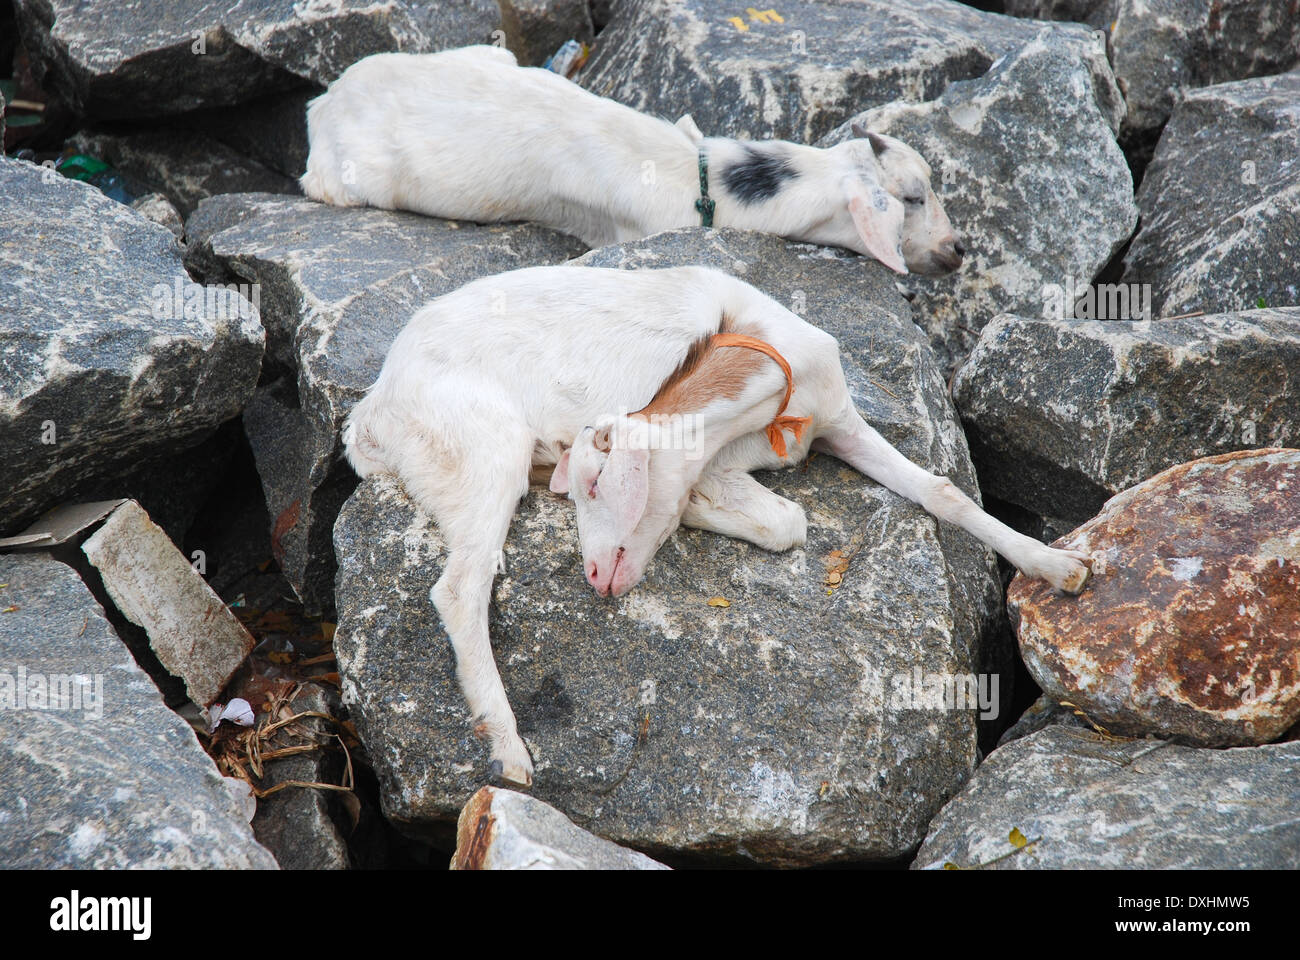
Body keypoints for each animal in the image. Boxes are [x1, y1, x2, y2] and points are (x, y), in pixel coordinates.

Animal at [342, 265, 1091, 787]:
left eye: (595, 484)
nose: (594, 573)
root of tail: (372, 413)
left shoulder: (832, 421)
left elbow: (935, 494)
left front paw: (1059, 567)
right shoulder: (722, 452)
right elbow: (787, 519)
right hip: (478, 444)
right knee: (461, 586)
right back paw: (507, 746)